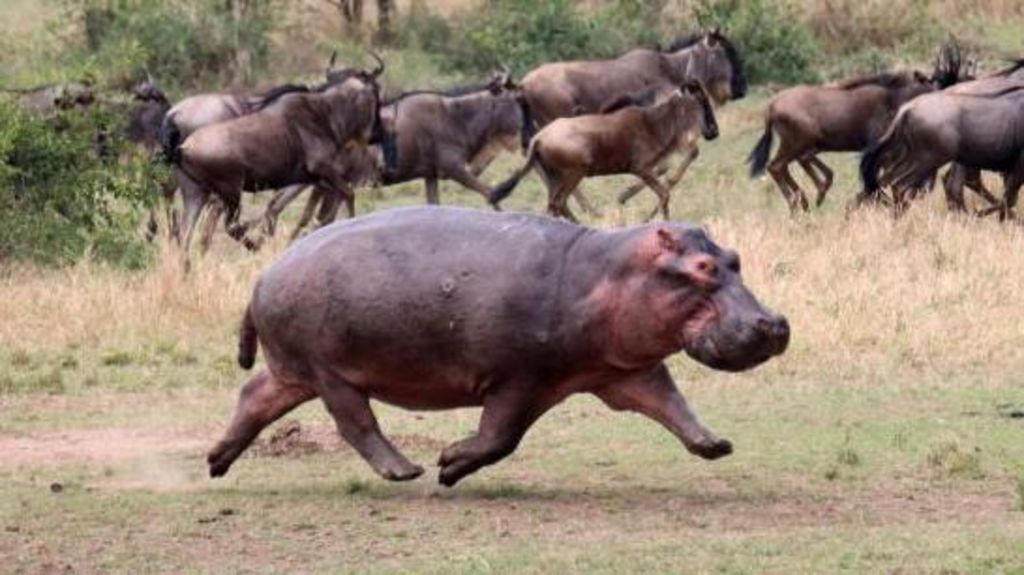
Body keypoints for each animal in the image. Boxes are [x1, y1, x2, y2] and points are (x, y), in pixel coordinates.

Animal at [205, 205, 782, 482]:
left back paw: (216, 461)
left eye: (734, 258)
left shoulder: (623, 369)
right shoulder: (518, 377)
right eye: (703, 267)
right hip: (331, 371)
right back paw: (405, 470)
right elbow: (500, 437)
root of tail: (263, 275)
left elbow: (670, 403)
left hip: (294, 369)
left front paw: (715, 444)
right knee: (356, 422)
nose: (774, 324)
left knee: (254, 396)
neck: (607, 272)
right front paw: (447, 463)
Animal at [489, 81, 716, 219]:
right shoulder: (641, 169)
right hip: (574, 173)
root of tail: (538, 139)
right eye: (701, 100)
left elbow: (664, 187)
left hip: (555, 178)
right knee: (559, 203)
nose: (713, 131)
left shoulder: (649, 169)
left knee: (553, 204)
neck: (654, 123)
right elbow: (665, 193)